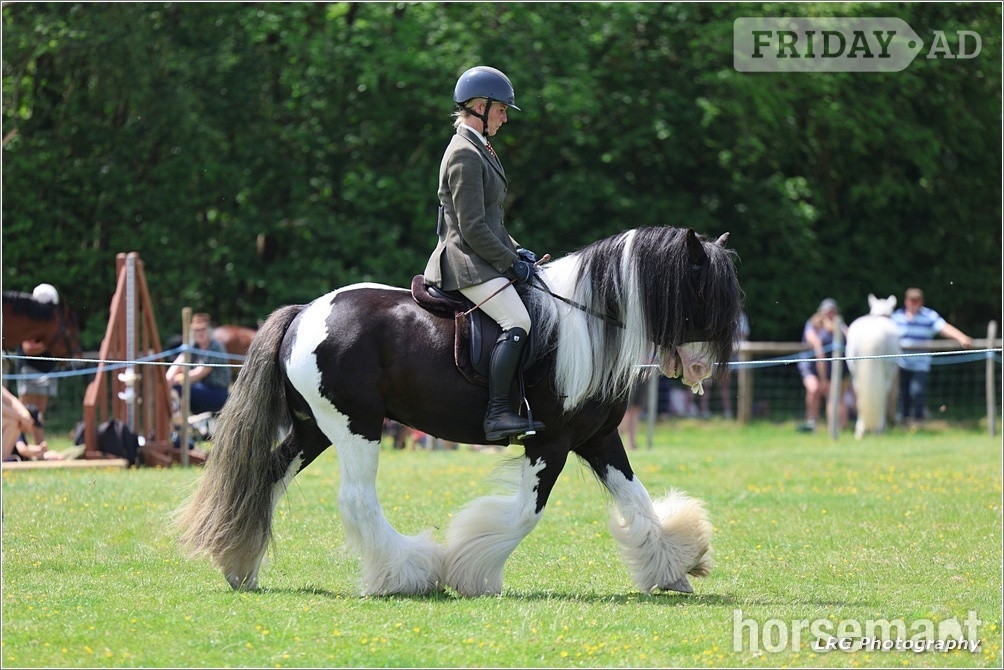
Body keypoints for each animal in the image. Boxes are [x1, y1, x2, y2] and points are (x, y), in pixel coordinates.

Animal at [176, 227, 742, 596]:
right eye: (701, 294)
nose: (699, 369)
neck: (585, 326)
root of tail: (304, 313)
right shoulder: (550, 443)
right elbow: (524, 514)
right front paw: (471, 573)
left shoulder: (598, 438)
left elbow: (638, 501)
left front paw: (673, 569)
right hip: (356, 427)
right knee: (357, 499)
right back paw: (407, 575)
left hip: (314, 429)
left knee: (267, 479)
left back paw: (240, 568)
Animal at [846, 294, 901, 439]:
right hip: (887, 372)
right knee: (883, 397)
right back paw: (879, 428)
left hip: (855, 373)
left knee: (859, 398)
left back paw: (860, 430)